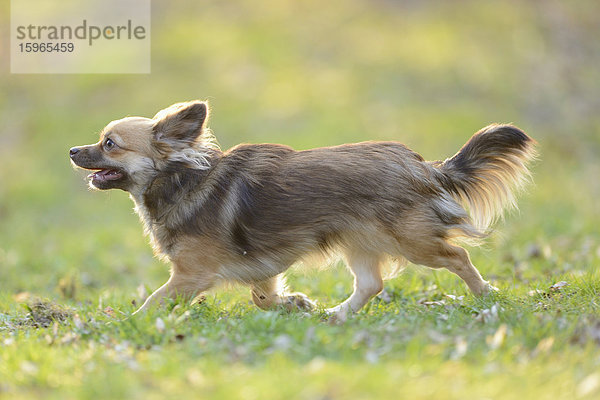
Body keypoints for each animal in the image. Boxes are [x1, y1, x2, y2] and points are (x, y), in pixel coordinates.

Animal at [69, 101, 536, 322]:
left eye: (110, 143)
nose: (73, 150)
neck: (181, 178)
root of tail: (421, 165)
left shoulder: (190, 276)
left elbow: (154, 301)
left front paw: (127, 324)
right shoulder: (261, 265)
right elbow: (261, 297)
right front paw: (296, 304)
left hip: (414, 241)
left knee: (458, 256)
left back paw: (485, 296)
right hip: (358, 241)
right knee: (371, 284)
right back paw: (336, 315)